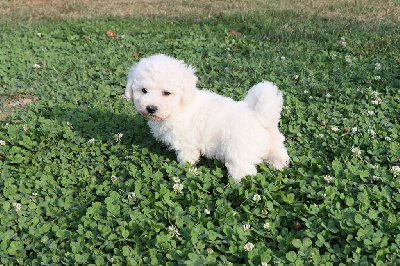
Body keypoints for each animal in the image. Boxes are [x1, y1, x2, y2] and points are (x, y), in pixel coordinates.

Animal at [125, 53, 288, 183]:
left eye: (166, 93)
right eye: (144, 90)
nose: (151, 108)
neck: (180, 106)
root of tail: (259, 117)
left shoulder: (186, 143)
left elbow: (186, 158)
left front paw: (185, 168)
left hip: (239, 153)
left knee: (245, 172)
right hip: (275, 143)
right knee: (280, 155)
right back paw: (279, 164)